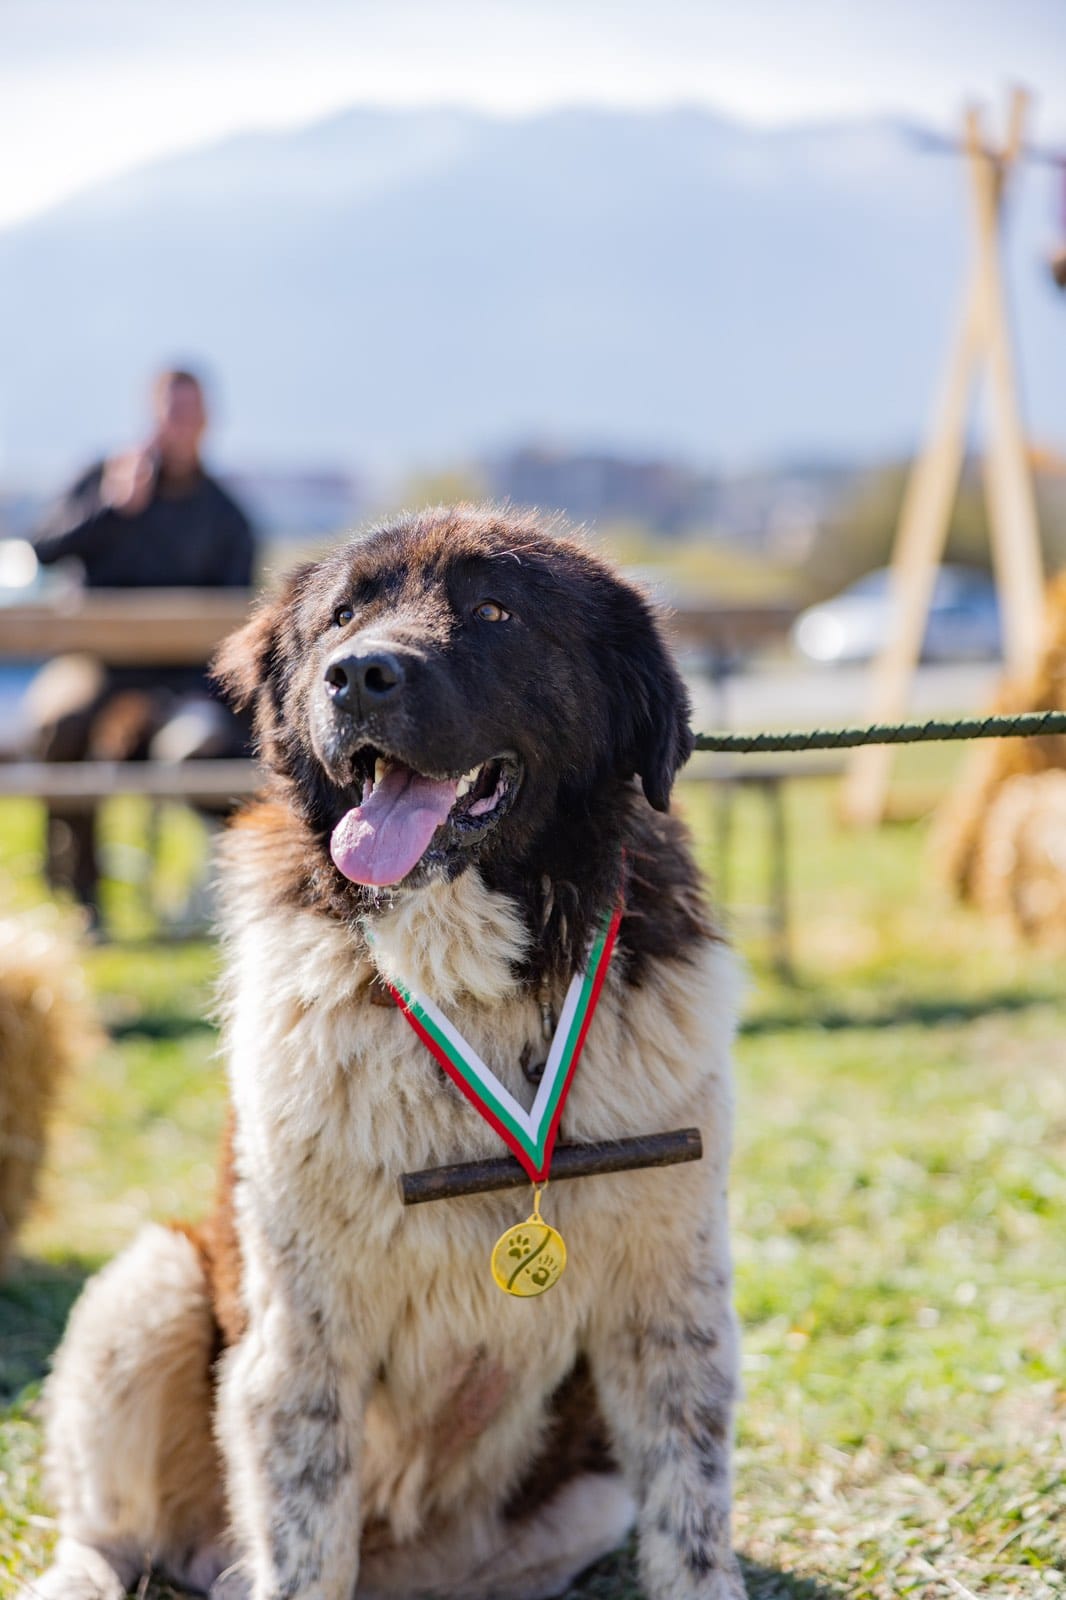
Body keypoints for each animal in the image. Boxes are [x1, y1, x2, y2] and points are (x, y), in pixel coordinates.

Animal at [22, 502, 739, 1600]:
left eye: (495, 611)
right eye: (342, 615)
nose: (359, 675)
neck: (469, 982)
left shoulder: (670, 1307)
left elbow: (691, 1524)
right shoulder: (299, 1340)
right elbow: (302, 1539)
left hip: (581, 1499)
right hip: (149, 1287)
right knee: (113, 1537)